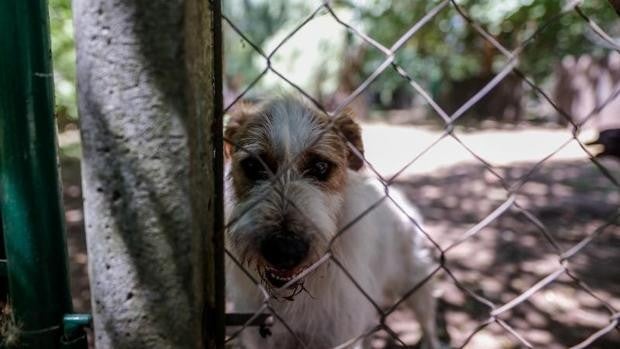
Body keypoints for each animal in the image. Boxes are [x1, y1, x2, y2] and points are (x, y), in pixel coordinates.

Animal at [225, 96, 438, 348]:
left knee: (428, 325)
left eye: (320, 167)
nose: (284, 250)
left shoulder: (339, 336)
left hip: (417, 286)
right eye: (253, 165)